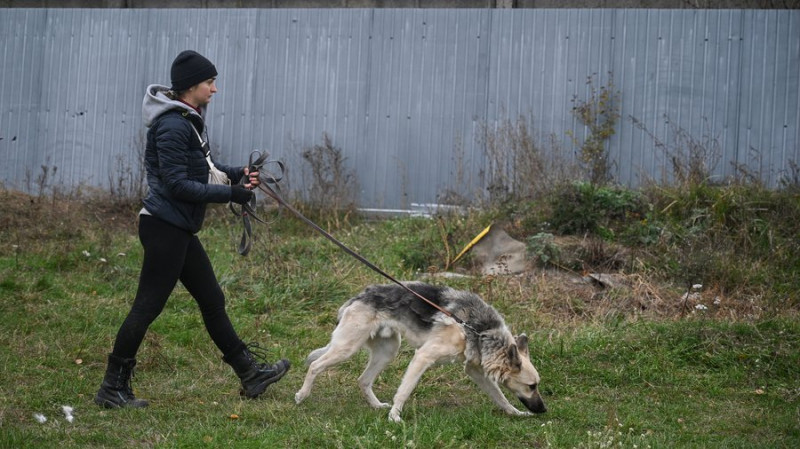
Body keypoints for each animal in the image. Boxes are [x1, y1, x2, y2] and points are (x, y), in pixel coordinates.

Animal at [296, 282, 552, 422]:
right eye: (532, 386)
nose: (544, 409)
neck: (479, 330)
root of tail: (358, 297)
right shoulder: (423, 357)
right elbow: (404, 392)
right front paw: (395, 417)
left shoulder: (475, 370)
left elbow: (499, 396)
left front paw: (514, 413)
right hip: (346, 348)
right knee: (315, 365)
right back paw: (301, 395)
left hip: (387, 351)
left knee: (363, 380)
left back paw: (376, 406)